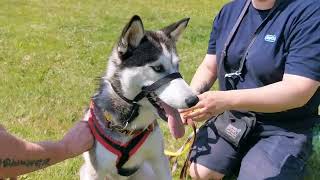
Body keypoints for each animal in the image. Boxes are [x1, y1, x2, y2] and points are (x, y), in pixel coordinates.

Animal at [80, 15, 198, 180]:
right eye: (157, 68)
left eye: (177, 65)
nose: (194, 100)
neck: (131, 125)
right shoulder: (94, 172)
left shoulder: (159, 160)